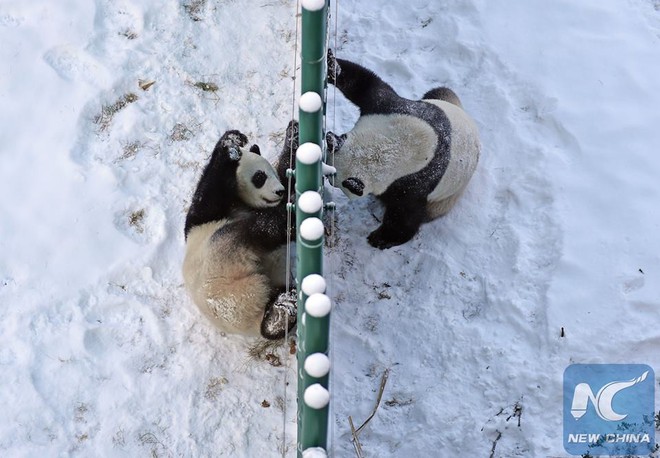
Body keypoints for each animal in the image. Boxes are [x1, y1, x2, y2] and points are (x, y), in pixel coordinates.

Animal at [183, 122, 302, 340]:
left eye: (272, 173)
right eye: (260, 177)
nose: (279, 191)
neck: (241, 203)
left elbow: (289, 171)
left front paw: (294, 132)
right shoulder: (207, 219)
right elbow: (207, 193)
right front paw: (231, 143)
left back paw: (281, 310)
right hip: (225, 254)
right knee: (262, 229)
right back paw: (282, 311)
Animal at [326, 52, 480, 250]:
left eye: (334, 180)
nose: (327, 179)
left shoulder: (415, 183)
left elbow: (405, 216)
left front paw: (380, 238)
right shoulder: (395, 111)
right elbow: (367, 85)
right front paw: (332, 66)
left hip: (445, 198)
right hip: (444, 100)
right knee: (439, 90)